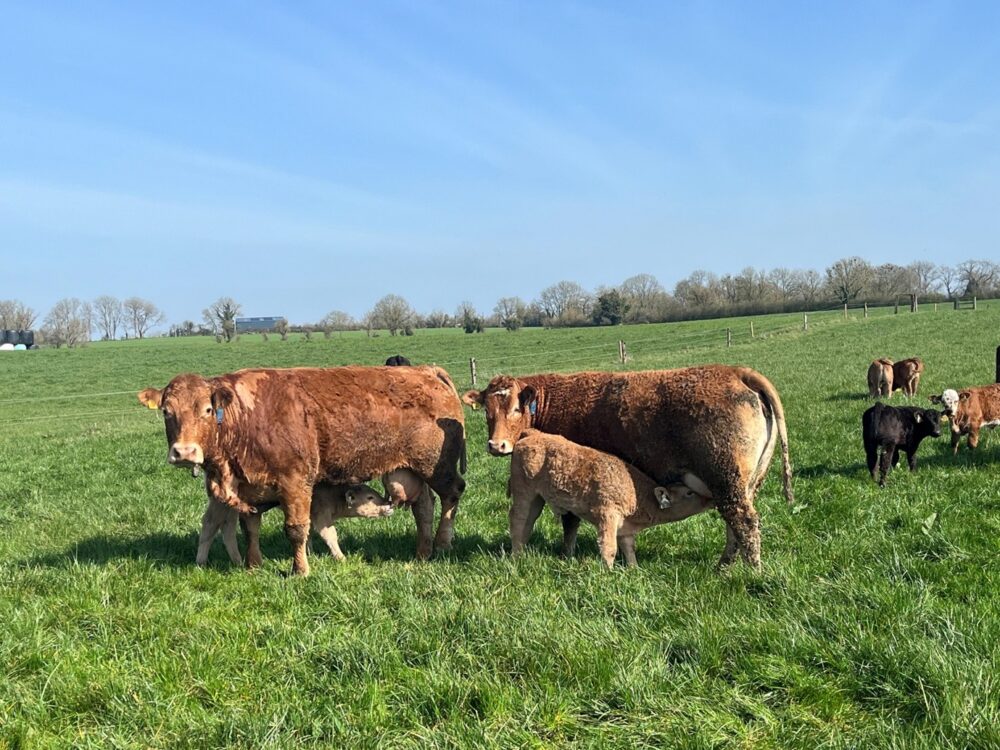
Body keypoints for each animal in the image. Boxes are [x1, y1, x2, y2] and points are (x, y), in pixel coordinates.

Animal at [196, 482, 394, 566]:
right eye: (369, 497)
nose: (389, 504)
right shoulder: (322, 517)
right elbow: (330, 535)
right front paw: (341, 558)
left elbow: (308, 535)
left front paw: (310, 554)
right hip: (221, 503)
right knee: (210, 523)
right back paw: (201, 562)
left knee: (227, 526)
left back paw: (237, 560)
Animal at [508, 430, 713, 568]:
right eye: (689, 492)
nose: (711, 500)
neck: (637, 493)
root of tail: (531, 434)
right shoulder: (607, 515)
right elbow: (609, 548)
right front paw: (609, 573)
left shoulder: (625, 528)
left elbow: (629, 549)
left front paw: (634, 569)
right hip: (524, 493)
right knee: (518, 520)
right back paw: (516, 557)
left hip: (537, 498)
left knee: (528, 522)